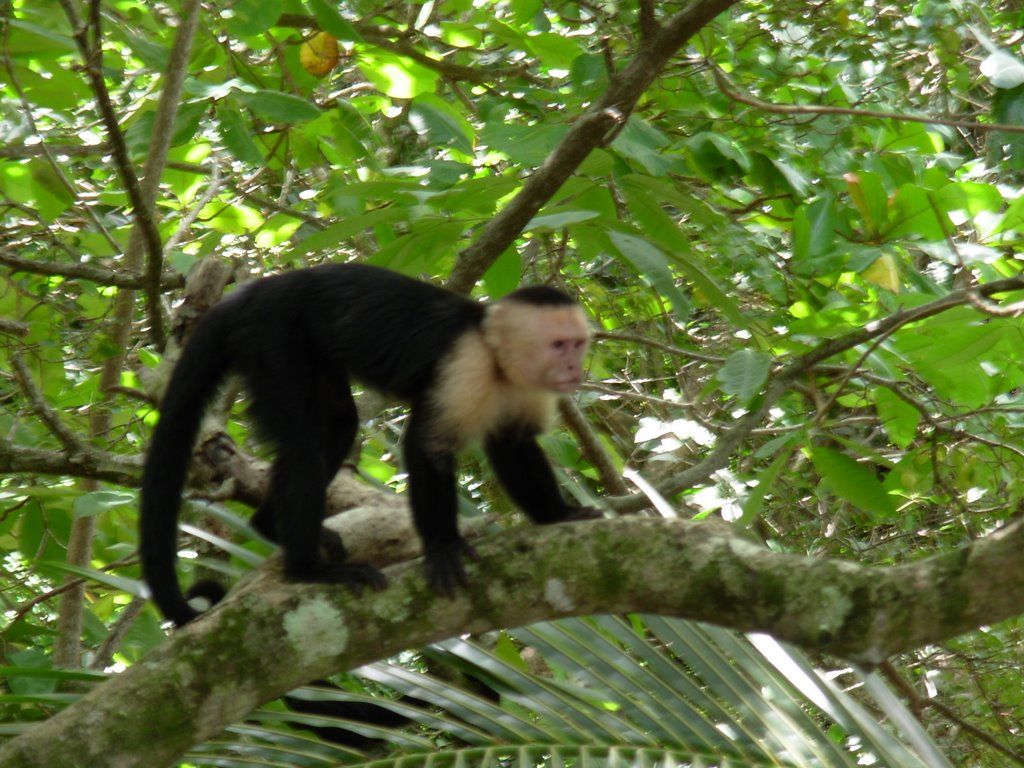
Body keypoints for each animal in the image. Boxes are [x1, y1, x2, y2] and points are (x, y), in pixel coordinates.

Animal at [140, 264, 598, 626]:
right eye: (559, 345)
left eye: (578, 345)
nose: (575, 369)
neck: (495, 355)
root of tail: (252, 293)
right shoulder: (463, 365)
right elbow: (426, 446)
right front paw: (444, 546)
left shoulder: (526, 388)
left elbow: (512, 442)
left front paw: (558, 514)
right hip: (272, 337)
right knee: (304, 444)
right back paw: (306, 570)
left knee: (340, 426)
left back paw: (269, 526)